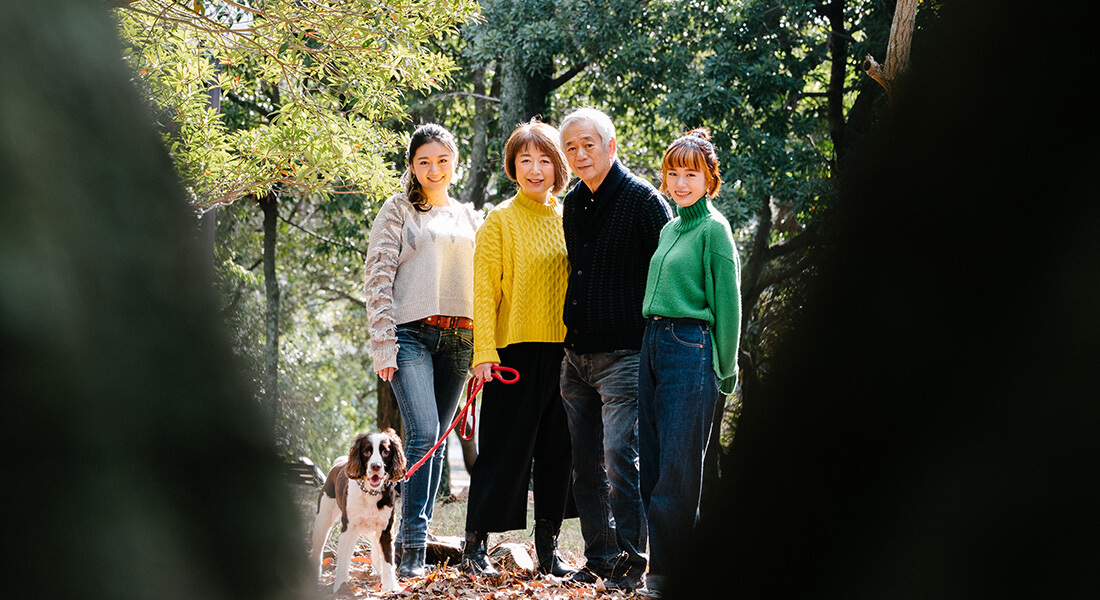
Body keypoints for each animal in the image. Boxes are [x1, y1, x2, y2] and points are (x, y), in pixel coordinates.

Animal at [310, 427, 409, 590]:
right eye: (367, 451)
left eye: (385, 451)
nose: (376, 466)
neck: (370, 492)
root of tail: (338, 464)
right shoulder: (349, 528)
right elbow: (343, 560)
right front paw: (340, 586)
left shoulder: (385, 529)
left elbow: (388, 559)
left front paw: (390, 587)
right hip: (323, 519)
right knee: (318, 548)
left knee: (375, 544)